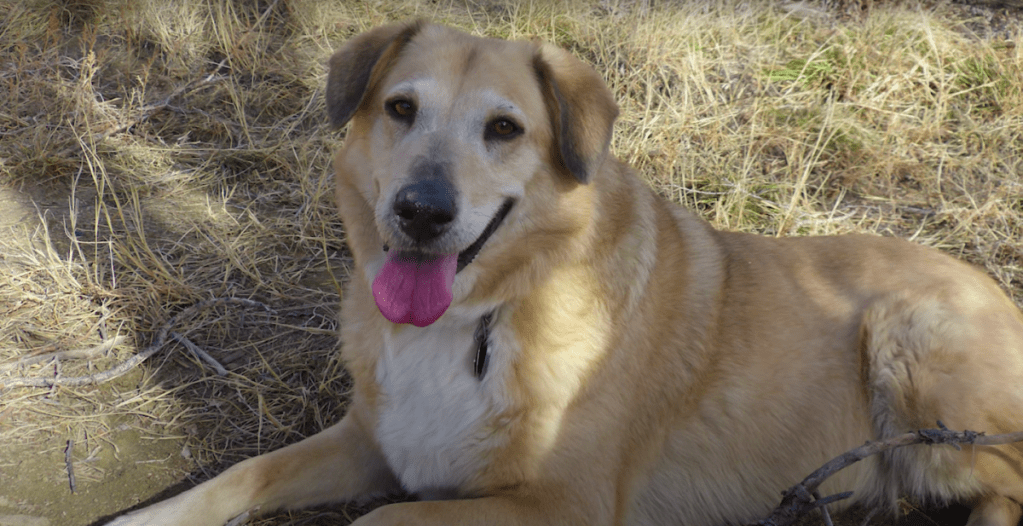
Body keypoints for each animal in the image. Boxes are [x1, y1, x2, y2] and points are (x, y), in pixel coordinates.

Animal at [107, 20, 1023, 523]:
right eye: (400, 108)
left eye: (504, 129)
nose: (420, 211)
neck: (479, 317)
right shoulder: (371, 441)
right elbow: (241, 473)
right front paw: (147, 519)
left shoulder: (559, 505)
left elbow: (382, 522)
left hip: (913, 352)